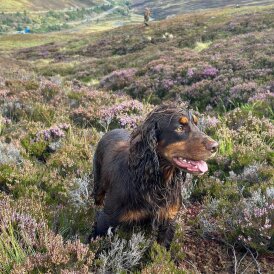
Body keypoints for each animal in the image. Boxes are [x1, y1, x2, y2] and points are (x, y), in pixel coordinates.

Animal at [92, 104, 218, 247]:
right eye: (180, 128)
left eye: (196, 124)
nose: (215, 146)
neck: (155, 181)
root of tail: (111, 130)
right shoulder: (106, 220)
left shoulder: (168, 220)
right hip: (98, 184)